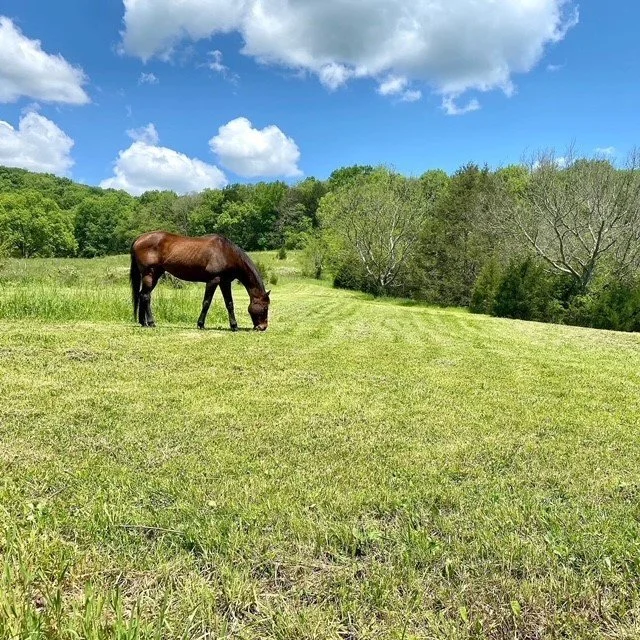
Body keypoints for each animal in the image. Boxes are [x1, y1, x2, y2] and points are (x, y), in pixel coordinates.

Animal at [129, 231, 271, 331]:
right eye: (265, 307)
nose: (262, 327)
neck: (226, 252)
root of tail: (139, 238)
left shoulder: (225, 282)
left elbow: (229, 303)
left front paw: (234, 326)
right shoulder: (213, 280)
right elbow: (206, 302)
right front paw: (201, 324)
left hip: (155, 275)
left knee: (142, 295)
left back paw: (143, 322)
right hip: (149, 274)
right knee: (146, 296)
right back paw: (151, 322)